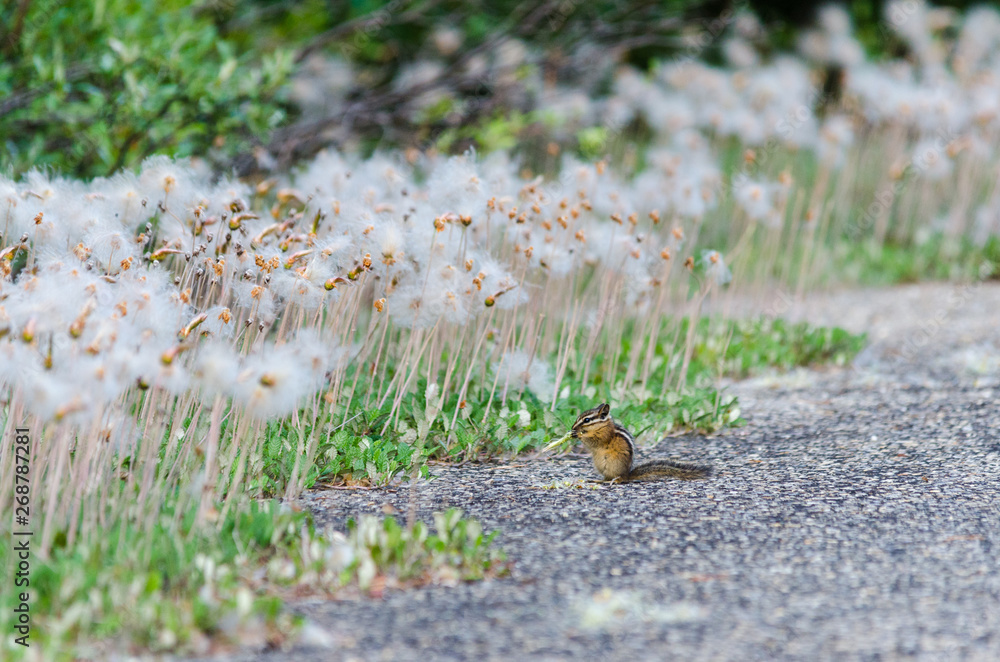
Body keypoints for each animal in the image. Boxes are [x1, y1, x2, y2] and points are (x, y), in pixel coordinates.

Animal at [566, 403, 712, 482]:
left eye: (586, 420)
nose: (573, 427)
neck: (602, 426)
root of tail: (627, 475)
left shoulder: (604, 436)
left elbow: (593, 441)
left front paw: (578, 435)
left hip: (612, 465)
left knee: (617, 480)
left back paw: (608, 481)